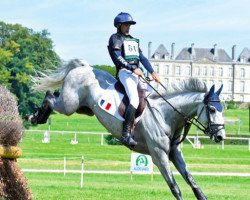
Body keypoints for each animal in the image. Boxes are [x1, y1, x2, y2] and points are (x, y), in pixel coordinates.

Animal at [28, 58, 225, 199]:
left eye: (223, 109)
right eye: (213, 109)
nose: (221, 137)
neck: (166, 114)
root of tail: (84, 67)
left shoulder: (174, 153)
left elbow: (192, 182)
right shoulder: (159, 156)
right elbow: (175, 187)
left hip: (84, 109)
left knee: (54, 96)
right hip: (69, 106)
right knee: (50, 97)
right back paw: (36, 117)